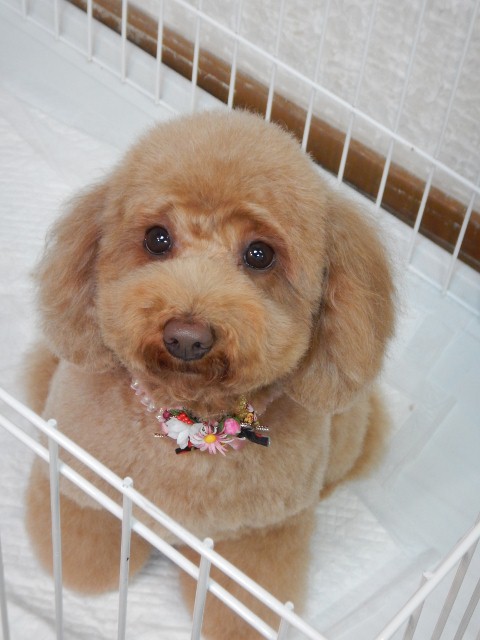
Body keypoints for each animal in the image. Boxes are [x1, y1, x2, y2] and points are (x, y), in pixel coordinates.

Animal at [25, 109, 395, 638]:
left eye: (260, 254)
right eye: (157, 239)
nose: (187, 336)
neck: (190, 419)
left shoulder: (255, 536)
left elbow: (240, 602)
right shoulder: (85, 483)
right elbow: (85, 556)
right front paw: (78, 567)